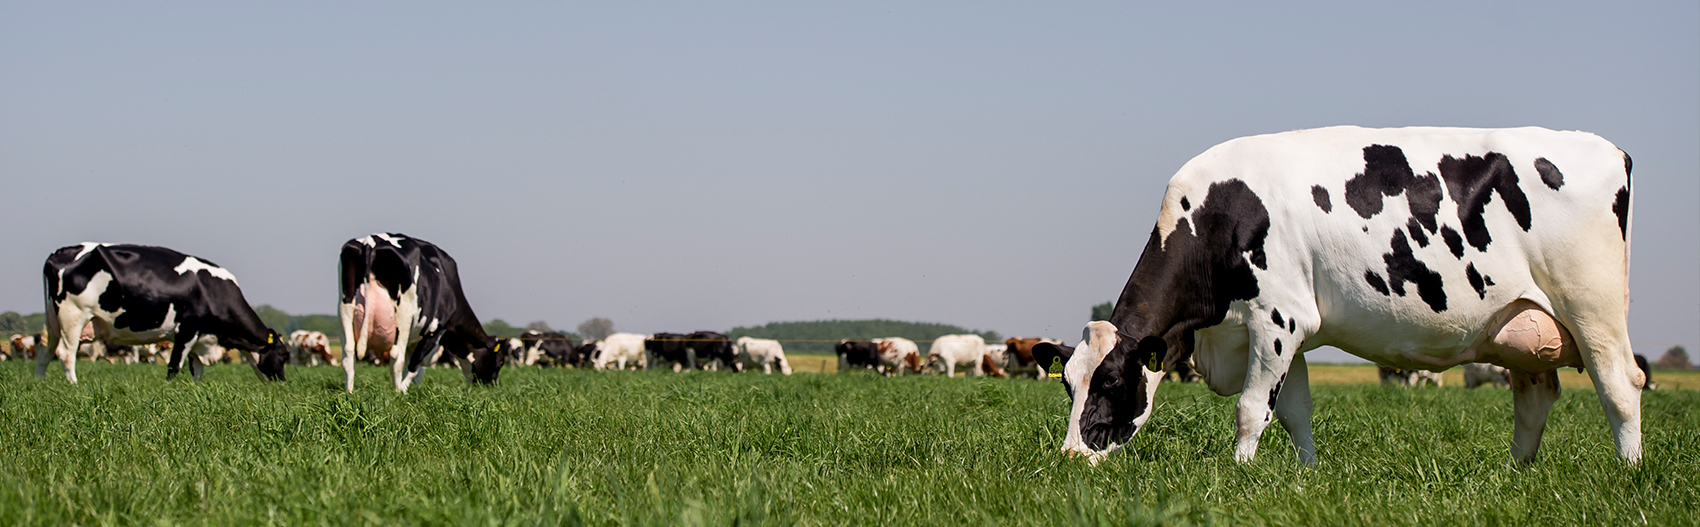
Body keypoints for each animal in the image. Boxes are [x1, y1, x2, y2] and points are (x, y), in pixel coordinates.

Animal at [39, 243, 289, 382]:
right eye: (284, 356)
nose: (283, 384)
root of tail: (59, 253)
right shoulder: (188, 329)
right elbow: (174, 366)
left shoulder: (199, 337)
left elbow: (196, 369)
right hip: (73, 317)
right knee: (66, 354)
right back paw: (74, 385)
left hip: (53, 321)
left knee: (46, 353)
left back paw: (40, 384)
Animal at [338, 232, 503, 392]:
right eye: (500, 361)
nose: (493, 386)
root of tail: (371, 241)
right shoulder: (434, 331)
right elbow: (414, 366)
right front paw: (403, 391)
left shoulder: (414, 339)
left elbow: (416, 369)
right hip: (403, 316)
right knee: (396, 357)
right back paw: (396, 393)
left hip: (345, 306)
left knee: (348, 353)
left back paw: (349, 392)